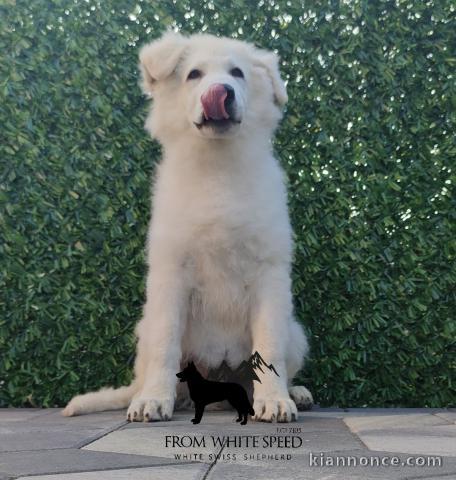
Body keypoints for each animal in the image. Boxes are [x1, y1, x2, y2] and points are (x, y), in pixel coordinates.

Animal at [62, 31, 314, 422]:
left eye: (238, 73)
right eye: (194, 74)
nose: (220, 92)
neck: (216, 167)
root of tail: (219, 374)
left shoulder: (270, 274)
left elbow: (269, 346)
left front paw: (274, 400)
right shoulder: (171, 274)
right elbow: (166, 344)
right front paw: (154, 400)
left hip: (296, 332)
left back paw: (294, 392)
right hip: (146, 327)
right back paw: (152, 394)